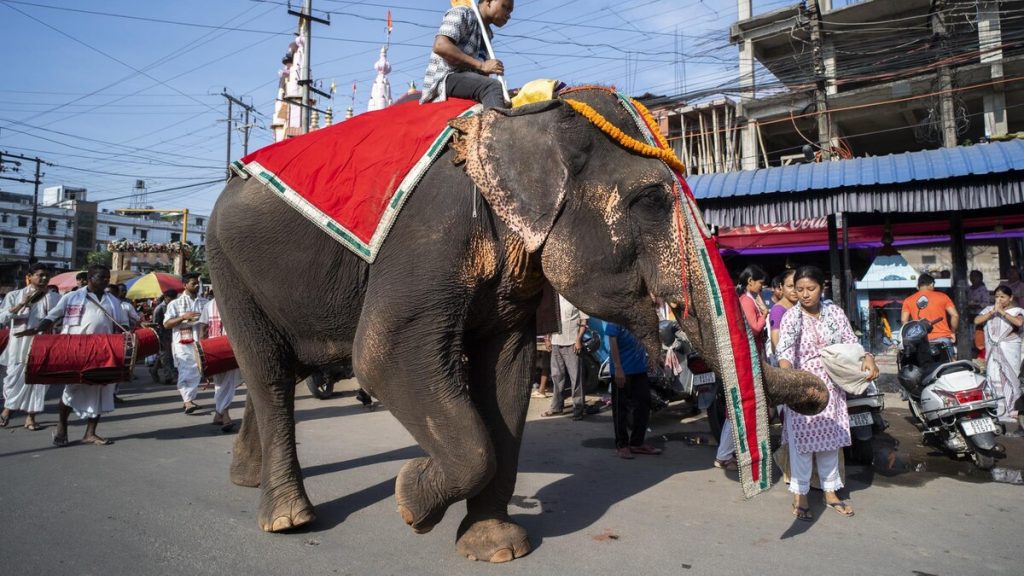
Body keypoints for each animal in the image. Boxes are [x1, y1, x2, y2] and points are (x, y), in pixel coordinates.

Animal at [207, 87, 827, 563]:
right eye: (652, 200)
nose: (821, 394)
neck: (527, 120)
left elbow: (506, 372)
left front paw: (495, 547)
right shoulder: (431, 231)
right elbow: (383, 355)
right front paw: (411, 502)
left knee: (285, 369)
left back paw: (245, 479)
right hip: (225, 265)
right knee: (270, 372)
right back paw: (288, 519)